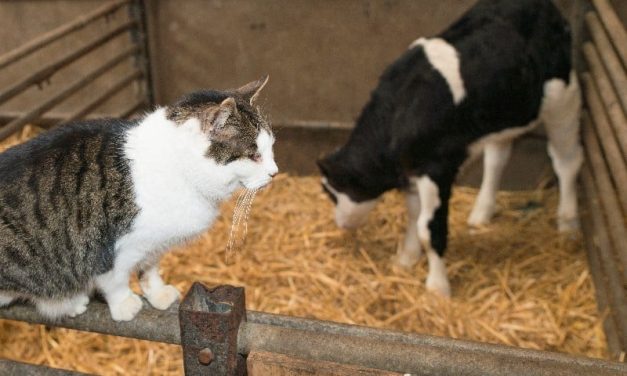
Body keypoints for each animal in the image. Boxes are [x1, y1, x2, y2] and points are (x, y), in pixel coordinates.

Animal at [0, 76, 278, 320]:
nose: (274, 172)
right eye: (254, 155)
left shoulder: (154, 243)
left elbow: (149, 269)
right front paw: (124, 305)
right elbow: (114, 279)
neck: (179, 169)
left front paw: (158, 294)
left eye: (271, 147)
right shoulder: (111, 247)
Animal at [318, 0, 584, 296]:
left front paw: (437, 288)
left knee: (567, 162)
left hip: (563, 98)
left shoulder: (436, 169)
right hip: (503, 111)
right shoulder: (413, 170)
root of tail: (544, 6)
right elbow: (414, 216)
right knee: (497, 158)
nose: (341, 224)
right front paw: (406, 259)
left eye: (331, 192)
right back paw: (481, 212)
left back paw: (568, 225)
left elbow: (428, 227)